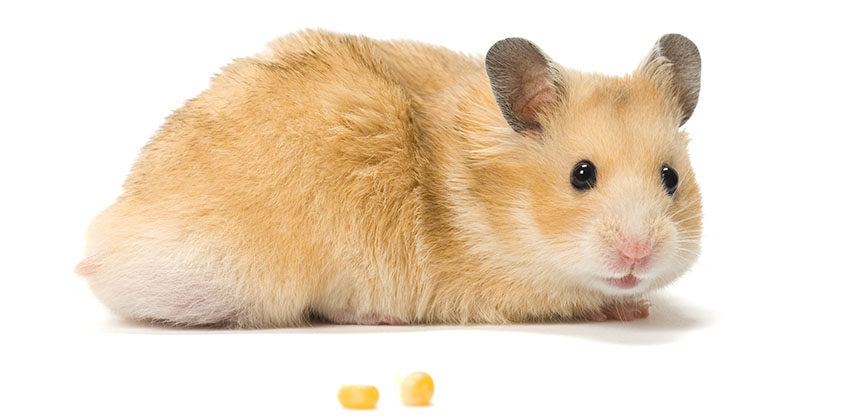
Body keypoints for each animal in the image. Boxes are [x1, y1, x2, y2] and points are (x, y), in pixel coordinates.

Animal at [76, 30, 702, 328]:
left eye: (671, 177)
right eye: (581, 175)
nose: (639, 256)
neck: (501, 208)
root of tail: (109, 248)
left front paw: (636, 308)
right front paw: (623, 309)